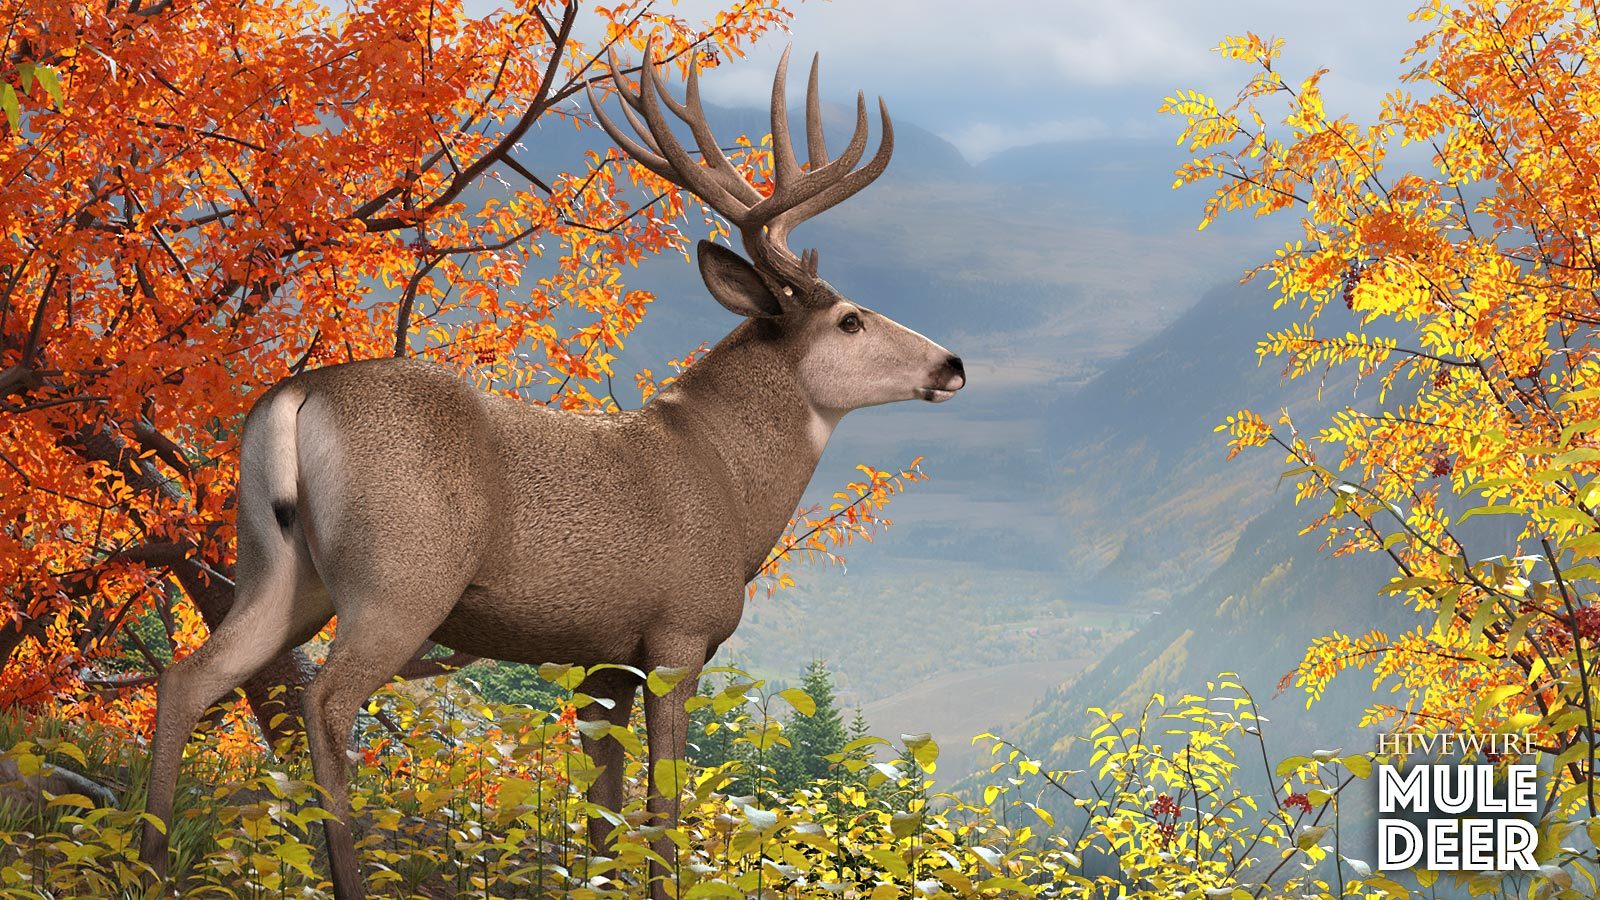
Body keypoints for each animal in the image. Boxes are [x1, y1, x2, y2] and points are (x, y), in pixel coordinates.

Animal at [138, 42, 964, 899]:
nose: (952, 364)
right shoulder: (677, 635)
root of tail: (296, 394)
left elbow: (602, 819)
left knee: (189, 677)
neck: (730, 483)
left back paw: (150, 864)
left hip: (278, 567)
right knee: (325, 700)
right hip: (400, 576)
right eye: (850, 319)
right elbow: (662, 816)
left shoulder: (603, 662)